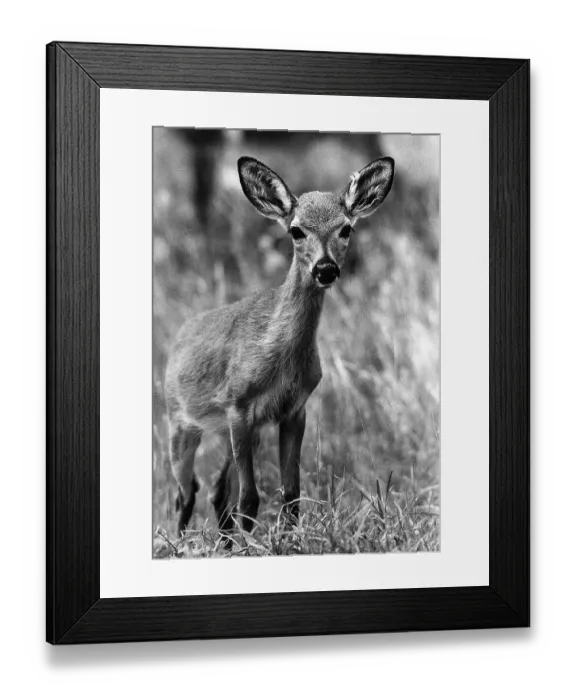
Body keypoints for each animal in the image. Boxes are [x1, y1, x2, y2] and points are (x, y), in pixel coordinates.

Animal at [165, 155, 395, 537]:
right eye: (296, 230)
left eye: (346, 229)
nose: (326, 268)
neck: (280, 360)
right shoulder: (238, 405)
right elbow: (249, 500)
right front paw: (254, 545)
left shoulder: (294, 409)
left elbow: (290, 494)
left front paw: (289, 541)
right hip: (180, 422)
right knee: (186, 493)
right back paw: (181, 542)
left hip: (233, 432)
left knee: (215, 492)